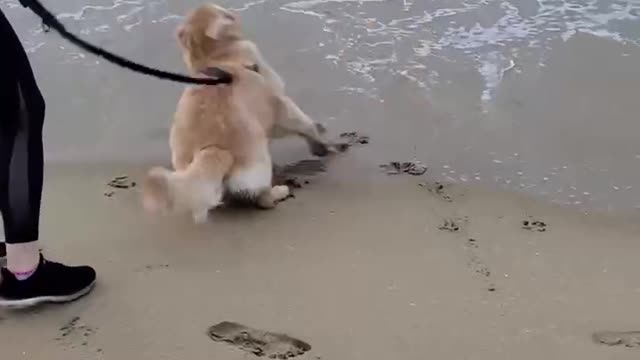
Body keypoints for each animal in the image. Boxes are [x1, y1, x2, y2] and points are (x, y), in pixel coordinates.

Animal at [141, 3, 340, 222]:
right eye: (225, 13)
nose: (234, 14)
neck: (216, 57)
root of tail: (212, 149)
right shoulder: (281, 105)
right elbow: (306, 125)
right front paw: (324, 143)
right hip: (258, 163)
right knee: (263, 199)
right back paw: (279, 192)